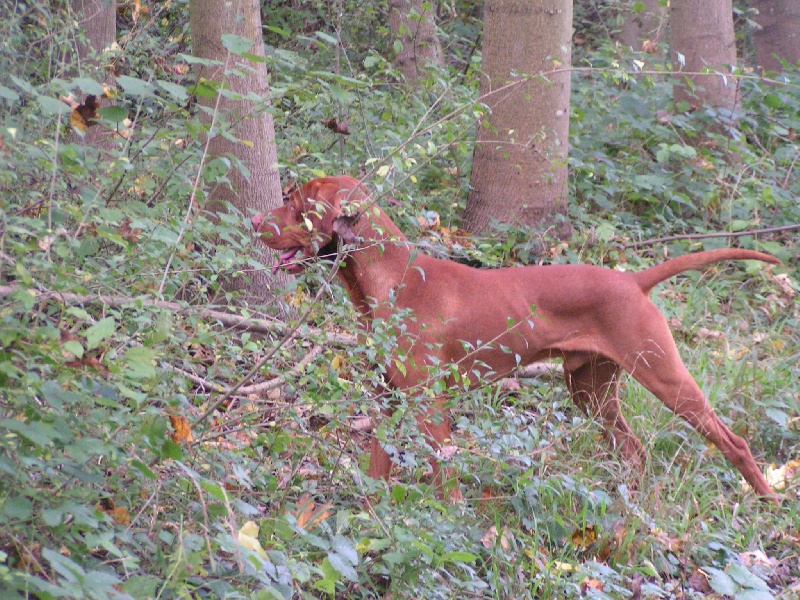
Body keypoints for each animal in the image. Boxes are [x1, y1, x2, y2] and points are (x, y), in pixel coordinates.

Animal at [255, 175, 780, 502]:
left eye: (297, 206)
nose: (254, 222)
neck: (396, 279)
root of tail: (633, 281)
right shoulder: (389, 396)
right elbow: (377, 467)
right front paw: (368, 516)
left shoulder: (430, 402)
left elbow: (444, 473)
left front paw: (451, 518)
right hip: (591, 389)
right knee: (633, 448)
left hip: (664, 377)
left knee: (733, 441)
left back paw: (767, 500)